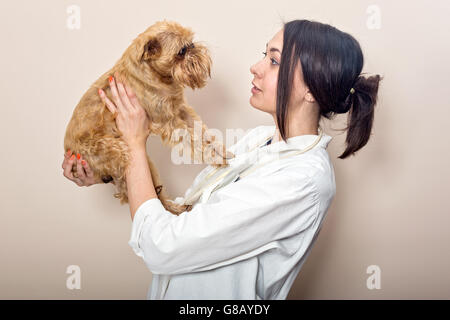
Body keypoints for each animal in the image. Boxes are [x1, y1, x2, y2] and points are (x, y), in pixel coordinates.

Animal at [63, 20, 234, 215]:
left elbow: (202, 132)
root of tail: (68, 150)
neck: (159, 77)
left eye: (191, 43)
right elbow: (194, 140)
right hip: (115, 151)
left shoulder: (180, 110)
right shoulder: (170, 122)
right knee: (127, 190)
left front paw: (221, 151)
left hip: (146, 163)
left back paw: (175, 208)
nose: (195, 48)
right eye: (182, 51)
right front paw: (215, 158)